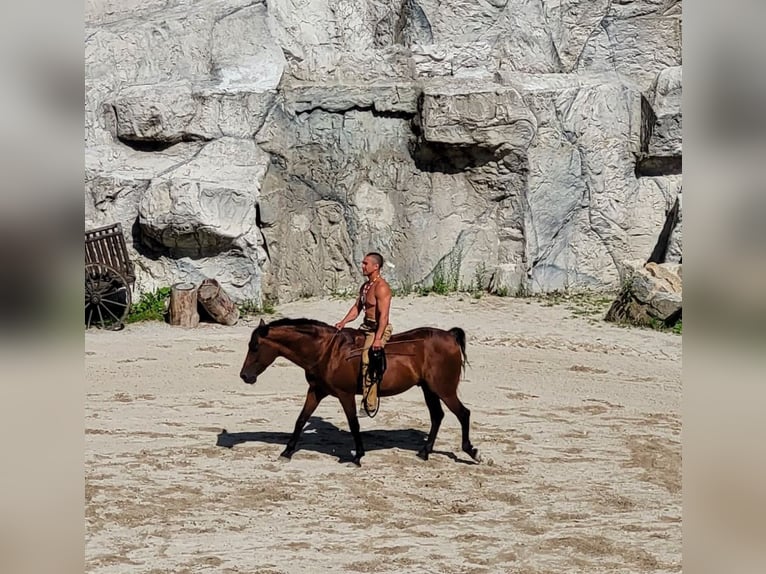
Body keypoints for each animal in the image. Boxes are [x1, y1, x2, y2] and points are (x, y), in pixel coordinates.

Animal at [240, 320, 480, 468]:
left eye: (254, 346)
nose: (244, 376)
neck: (328, 351)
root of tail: (449, 335)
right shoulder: (316, 391)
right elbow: (301, 419)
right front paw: (287, 452)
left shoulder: (344, 394)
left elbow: (353, 423)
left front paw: (358, 456)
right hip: (429, 389)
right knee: (437, 416)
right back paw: (424, 451)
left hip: (444, 389)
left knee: (463, 414)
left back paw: (471, 451)